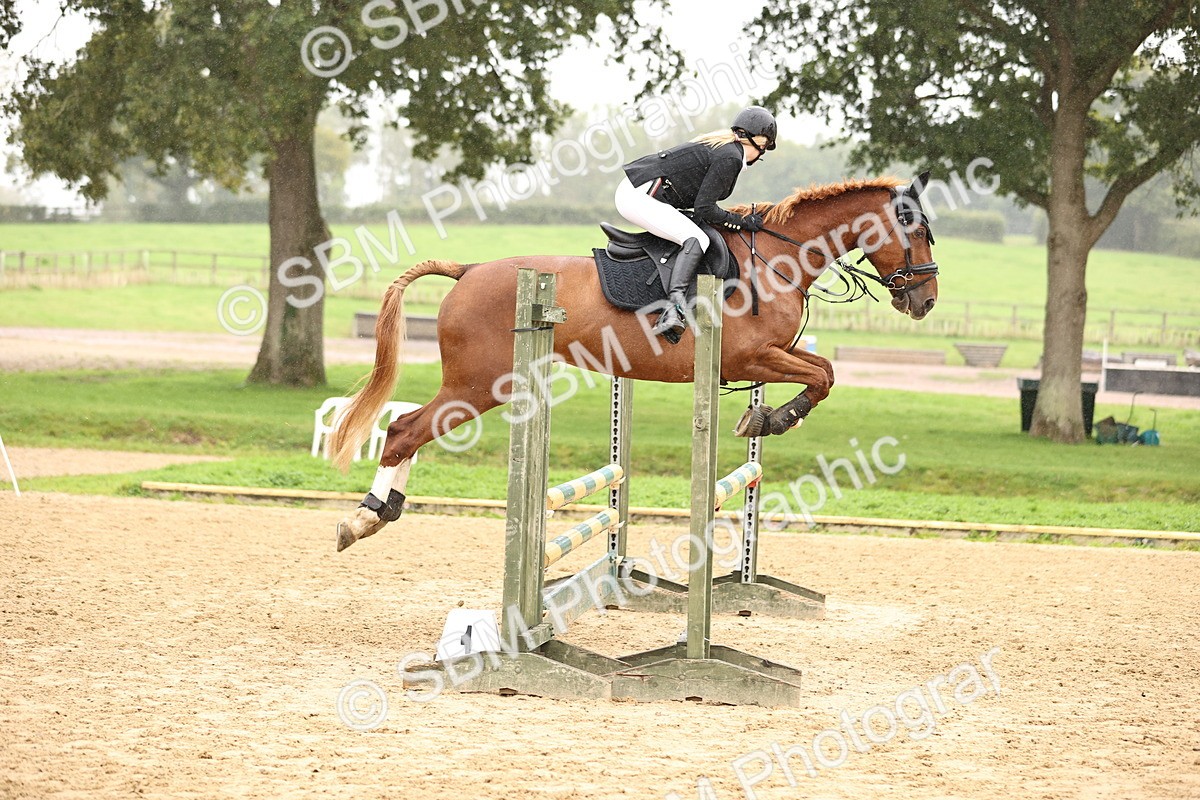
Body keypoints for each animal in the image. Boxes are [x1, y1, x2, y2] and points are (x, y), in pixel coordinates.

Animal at [329, 173, 939, 550]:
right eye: (917, 231)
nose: (926, 302)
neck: (777, 257)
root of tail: (468, 269)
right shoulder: (752, 358)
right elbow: (821, 376)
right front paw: (774, 418)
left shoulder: (770, 357)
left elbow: (825, 372)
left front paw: (765, 417)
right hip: (481, 384)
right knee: (406, 429)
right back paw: (363, 518)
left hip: (485, 383)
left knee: (407, 423)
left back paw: (384, 509)